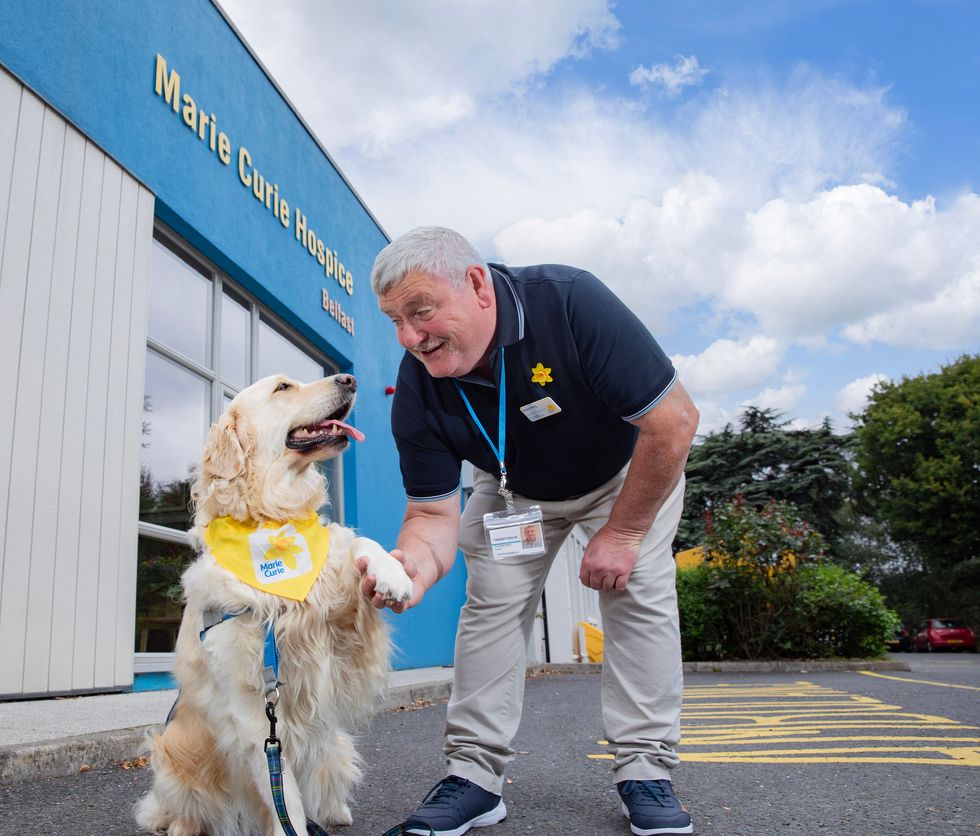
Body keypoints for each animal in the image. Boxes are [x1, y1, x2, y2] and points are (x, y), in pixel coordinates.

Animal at [136, 374, 412, 836]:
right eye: (284, 387)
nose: (350, 379)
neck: (272, 521)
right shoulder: (254, 717)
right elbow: (288, 805)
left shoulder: (337, 628)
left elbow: (355, 543)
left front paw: (392, 574)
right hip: (175, 753)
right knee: (184, 809)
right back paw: (182, 826)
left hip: (335, 744)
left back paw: (335, 812)